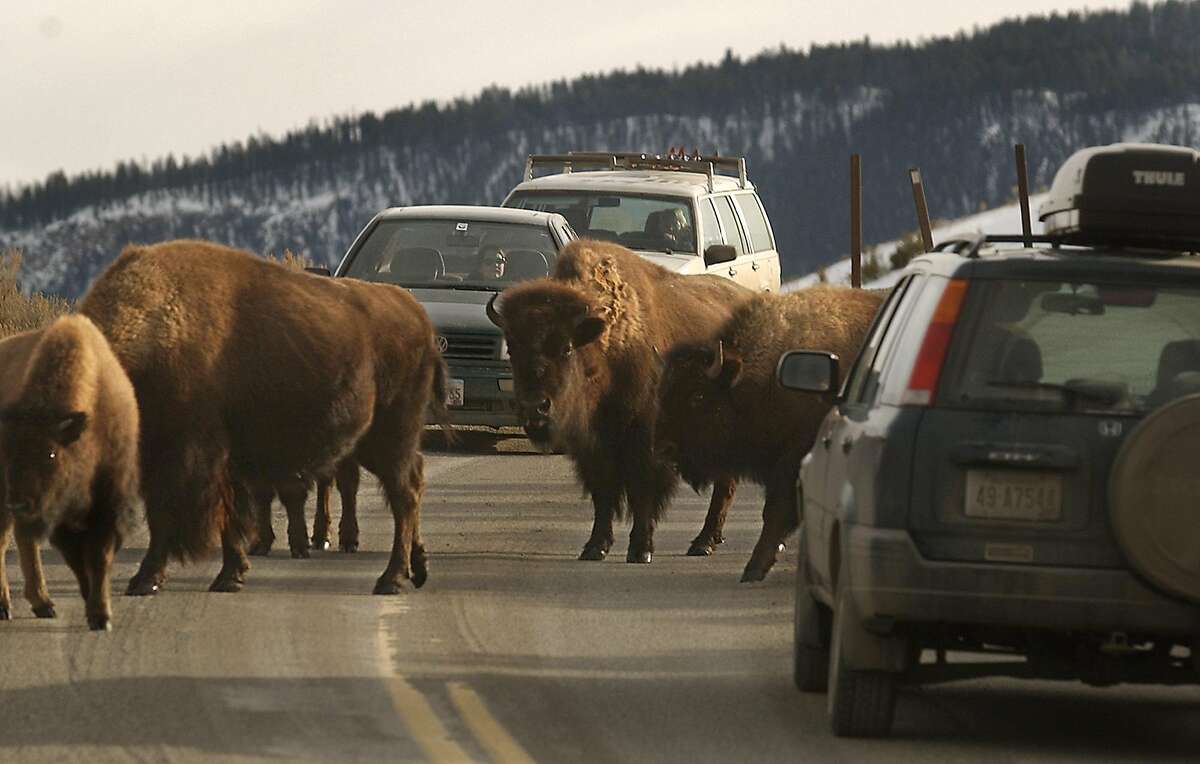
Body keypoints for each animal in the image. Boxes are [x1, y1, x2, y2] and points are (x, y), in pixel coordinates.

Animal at [0, 311, 140, 628]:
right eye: (7, 454)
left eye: (51, 453)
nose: (19, 503)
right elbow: (79, 560)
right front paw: (95, 609)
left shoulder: (107, 505)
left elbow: (97, 556)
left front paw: (100, 615)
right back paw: (7, 606)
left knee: (23, 540)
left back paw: (43, 604)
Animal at [79, 239, 448, 594]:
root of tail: (417, 315)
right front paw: (230, 574)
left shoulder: (186, 459)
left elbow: (176, 517)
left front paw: (150, 580)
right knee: (410, 483)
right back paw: (416, 568)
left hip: (387, 439)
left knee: (403, 495)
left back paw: (389, 579)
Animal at [652, 289, 888, 580]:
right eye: (663, 393)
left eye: (698, 395)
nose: (663, 447)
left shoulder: (792, 461)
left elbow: (775, 511)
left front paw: (753, 569)